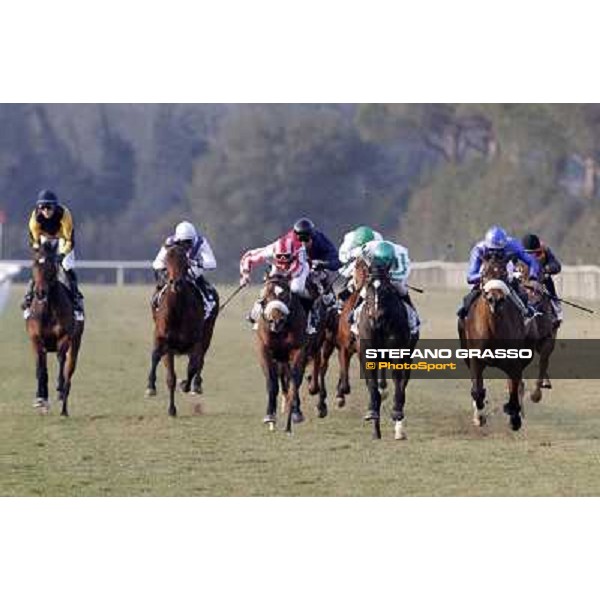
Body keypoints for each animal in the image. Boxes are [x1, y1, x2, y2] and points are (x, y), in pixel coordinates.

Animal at [25, 241, 84, 414]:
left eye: (50, 266)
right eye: (34, 265)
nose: (40, 292)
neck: (48, 309)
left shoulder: (64, 337)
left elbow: (60, 358)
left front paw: (59, 388)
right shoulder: (36, 339)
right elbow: (40, 368)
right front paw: (41, 398)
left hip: (76, 344)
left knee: (69, 372)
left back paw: (64, 407)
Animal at [146, 244, 219, 418]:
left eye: (185, 261)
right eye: (166, 260)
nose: (176, 283)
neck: (178, 311)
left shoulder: (196, 341)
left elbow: (192, 366)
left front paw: (186, 384)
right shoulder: (165, 343)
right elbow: (168, 375)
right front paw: (170, 407)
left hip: (208, 333)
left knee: (200, 360)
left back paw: (196, 384)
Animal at [255, 274, 308, 434]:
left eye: (285, 295)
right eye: (265, 296)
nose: (276, 321)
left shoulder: (298, 350)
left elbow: (294, 382)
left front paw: (293, 417)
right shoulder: (264, 350)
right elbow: (272, 382)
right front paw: (270, 417)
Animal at [460, 255, 536, 428]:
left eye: (504, 274)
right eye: (483, 273)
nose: (495, 299)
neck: (493, 328)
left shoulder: (514, 359)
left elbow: (514, 385)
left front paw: (515, 417)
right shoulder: (475, 358)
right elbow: (477, 390)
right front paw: (480, 416)